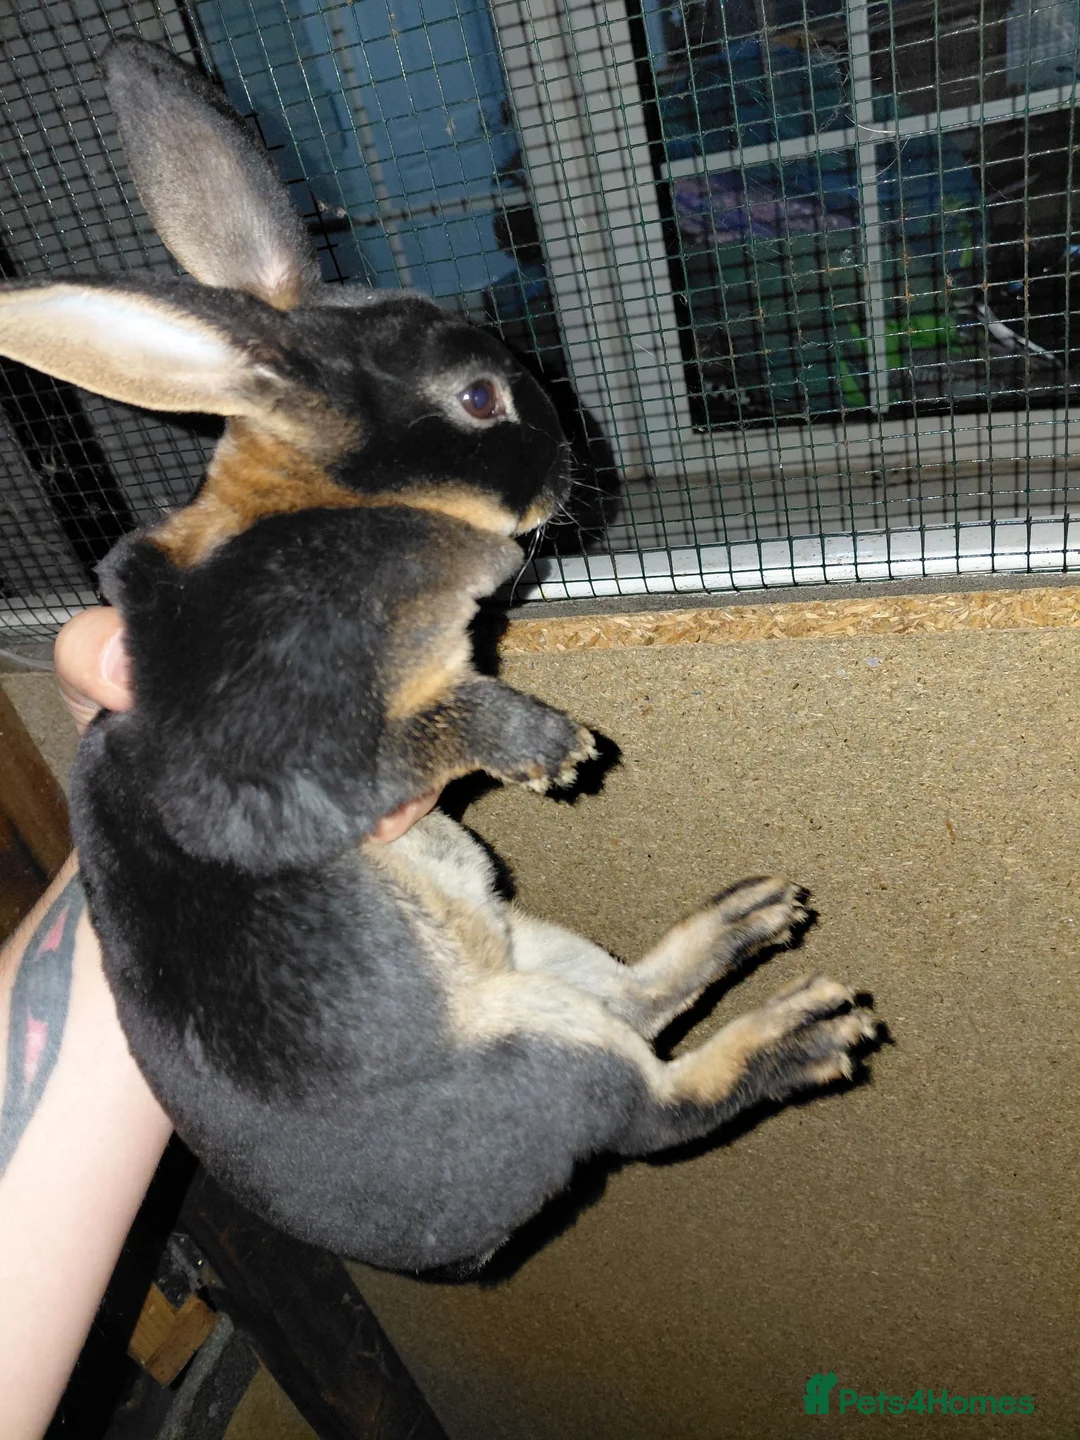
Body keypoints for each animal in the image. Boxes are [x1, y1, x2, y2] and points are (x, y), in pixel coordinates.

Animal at [0, 38, 877, 1271]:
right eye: (476, 397)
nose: (566, 475)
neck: (346, 501)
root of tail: (459, 1243)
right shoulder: (277, 761)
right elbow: (405, 742)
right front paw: (550, 748)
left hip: (543, 959)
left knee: (640, 1001)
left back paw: (749, 917)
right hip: (551, 1048)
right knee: (660, 1107)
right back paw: (801, 1032)